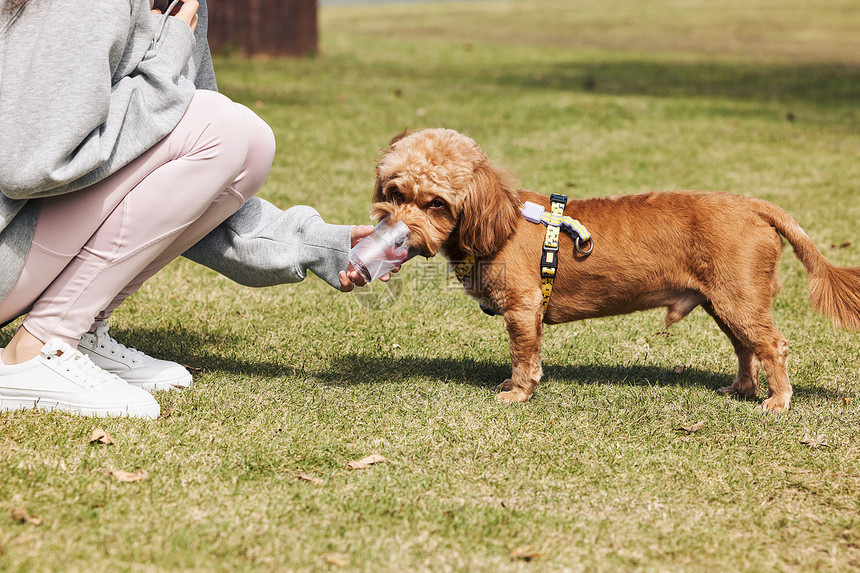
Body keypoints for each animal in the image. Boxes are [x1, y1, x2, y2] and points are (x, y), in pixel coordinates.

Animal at [370, 128, 860, 412]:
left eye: (436, 203)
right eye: (394, 192)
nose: (396, 229)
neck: (500, 222)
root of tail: (756, 206)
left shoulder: (524, 309)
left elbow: (524, 355)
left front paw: (519, 391)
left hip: (738, 298)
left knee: (772, 346)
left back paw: (778, 400)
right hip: (725, 302)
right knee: (746, 348)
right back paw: (741, 389)